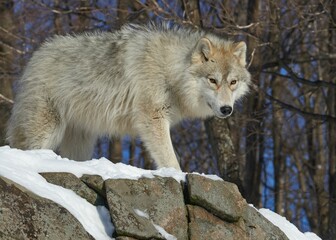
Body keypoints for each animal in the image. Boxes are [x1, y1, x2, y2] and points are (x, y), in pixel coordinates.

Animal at [6, 21, 251, 170]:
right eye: (213, 80)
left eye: (232, 82)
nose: (226, 109)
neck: (170, 70)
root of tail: (36, 55)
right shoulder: (153, 117)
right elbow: (171, 160)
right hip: (47, 129)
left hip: (81, 141)